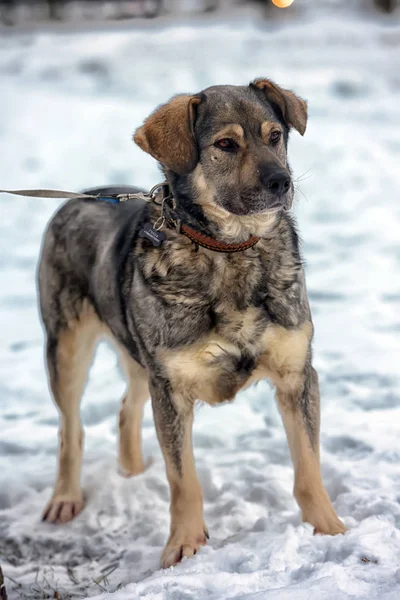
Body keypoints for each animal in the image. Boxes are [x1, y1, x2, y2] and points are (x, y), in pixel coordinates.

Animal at [36, 78, 346, 568]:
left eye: (275, 135)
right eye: (225, 144)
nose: (282, 182)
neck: (231, 251)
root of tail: (82, 196)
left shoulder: (297, 375)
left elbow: (308, 467)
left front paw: (329, 529)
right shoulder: (172, 388)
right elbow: (183, 480)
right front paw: (184, 545)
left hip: (139, 354)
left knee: (125, 409)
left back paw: (133, 475)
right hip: (68, 348)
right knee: (71, 429)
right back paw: (66, 498)